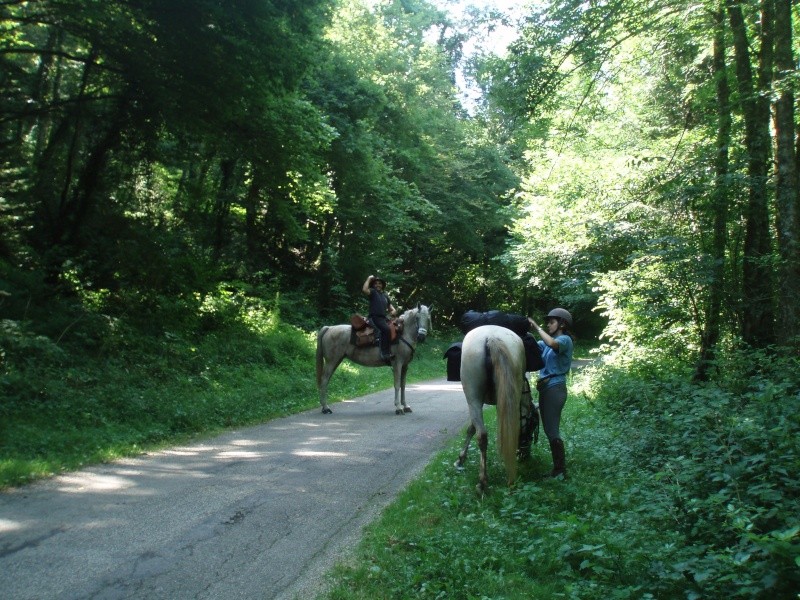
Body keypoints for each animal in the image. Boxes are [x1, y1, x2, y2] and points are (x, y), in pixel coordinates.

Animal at [456, 326, 524, 494]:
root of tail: (491, 336)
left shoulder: (476, 403)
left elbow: (471, 429)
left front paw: (461, 458)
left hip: (473, 398)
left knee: (482, 435)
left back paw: (482, 482)